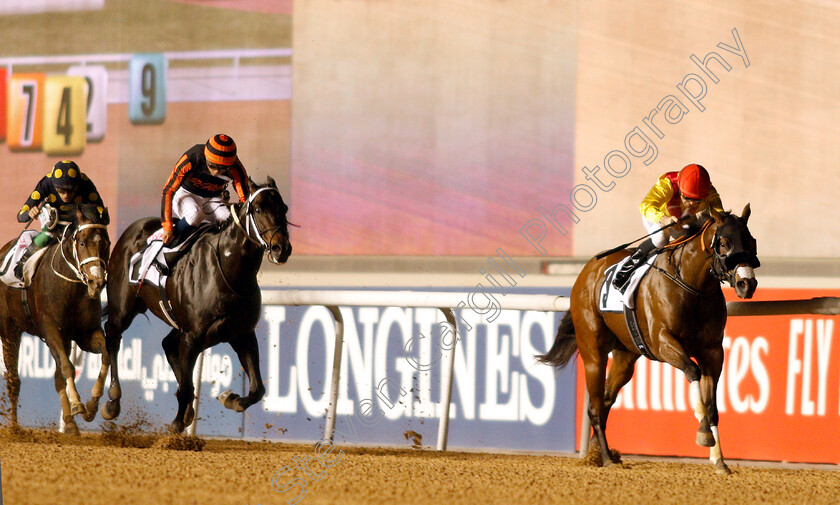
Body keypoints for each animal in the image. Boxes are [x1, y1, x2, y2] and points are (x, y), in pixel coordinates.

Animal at [0, 205, 111, 434]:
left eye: (106, 243)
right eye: (82, 242)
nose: (96, 282)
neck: (71, 288)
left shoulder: (84, 333)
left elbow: (106, 355)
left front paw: (92, 404)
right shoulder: (51, 331)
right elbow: (68, 367)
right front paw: (77, 403)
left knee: (58, 377)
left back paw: (69, 423)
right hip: (9, 330)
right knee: (14, 379)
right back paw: (14, 427)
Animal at [102, 176, 292, 430]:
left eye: (284, 208)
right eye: (259, 209)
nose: (282, 249)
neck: (230, 270)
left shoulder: (241, 333)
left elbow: (257, 389)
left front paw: (230, 399)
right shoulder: (193, 336)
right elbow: (184, 387)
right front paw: (176, 425)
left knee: (168, 345)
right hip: (123, 307)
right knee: (112, 336)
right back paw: (111, 401)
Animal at [540, 204, 760, 472]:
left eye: (751, 241)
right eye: (724, 243)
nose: (746, 283)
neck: (692, 286)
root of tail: (587, 271)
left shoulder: (713, 352)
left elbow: (712, 407)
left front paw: (719, 460)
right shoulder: (663, 342)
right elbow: (692, 371)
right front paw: (704, 434)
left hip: (625, 355)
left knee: (606, 400)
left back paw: (599, 452)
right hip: (593, 351)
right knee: (594, 406)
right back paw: (605, 458)